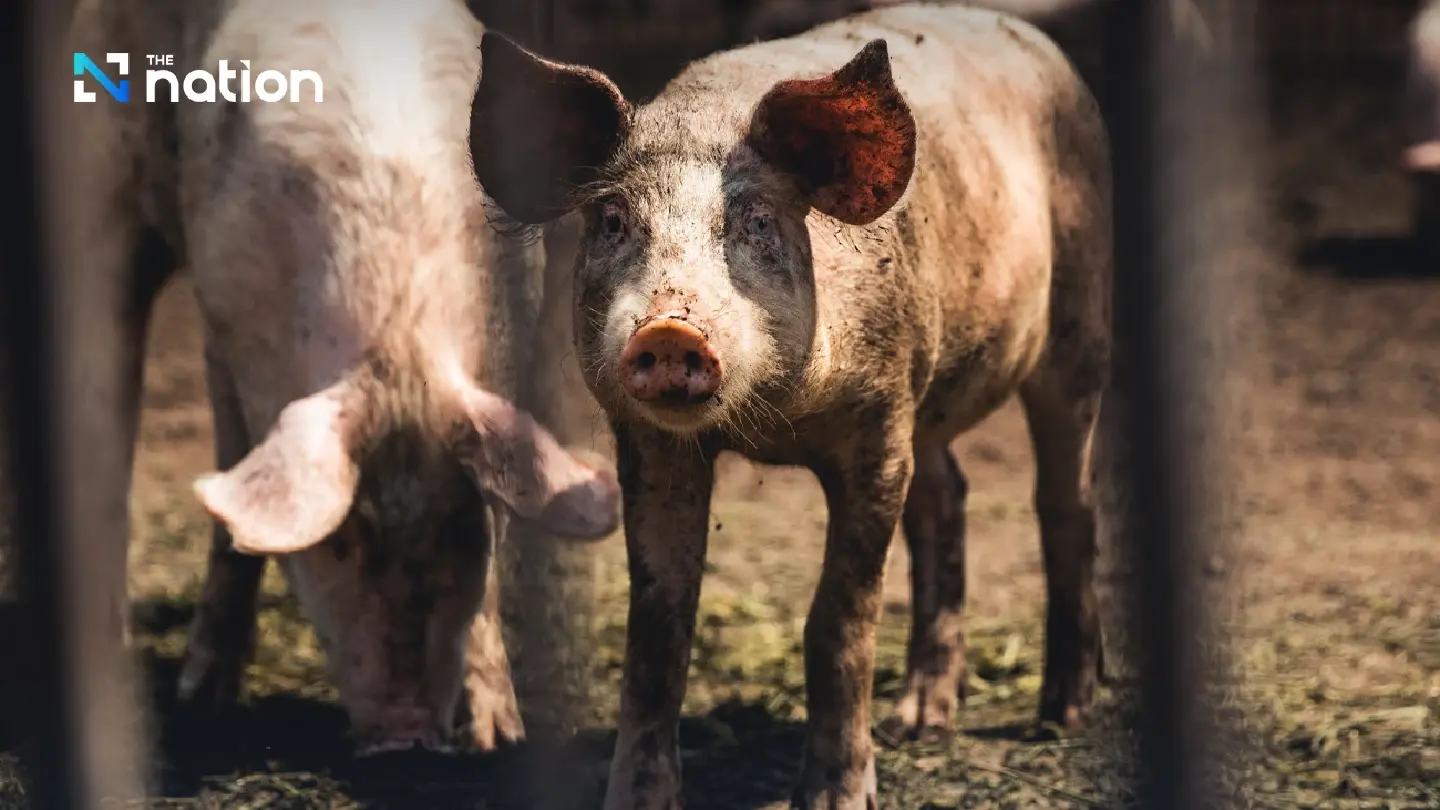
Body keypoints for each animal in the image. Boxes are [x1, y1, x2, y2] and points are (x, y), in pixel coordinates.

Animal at [64, 0, 620, 754]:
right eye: (339, 543)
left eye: (471, 530)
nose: (407, 735)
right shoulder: (222, 314)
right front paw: (200, 699)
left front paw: (498, 738)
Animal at [469, 3, 1111, 807]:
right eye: (613, 219)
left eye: (756, 221)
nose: (670, 329)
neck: (773, 426)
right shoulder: (653, 446)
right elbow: (659, 626)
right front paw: (638, 798)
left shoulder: (877, 423)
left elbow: (838, 619)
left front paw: (839, 798)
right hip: (929, 397)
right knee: (947, 496)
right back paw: (918, 724)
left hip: (1076, 321)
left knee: (1066, 498)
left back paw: (1062, 714)